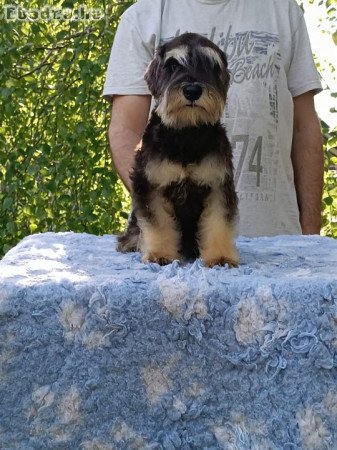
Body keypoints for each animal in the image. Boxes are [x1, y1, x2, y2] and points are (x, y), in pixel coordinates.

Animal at [117, 32, 238, 268]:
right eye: (172, 65)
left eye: (210, 65)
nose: (192, 90)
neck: (186, 134)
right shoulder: (152, 185)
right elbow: (159, 224)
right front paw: (160, 254)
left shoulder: (218, 185)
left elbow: (218, 222)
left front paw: (220, 256)